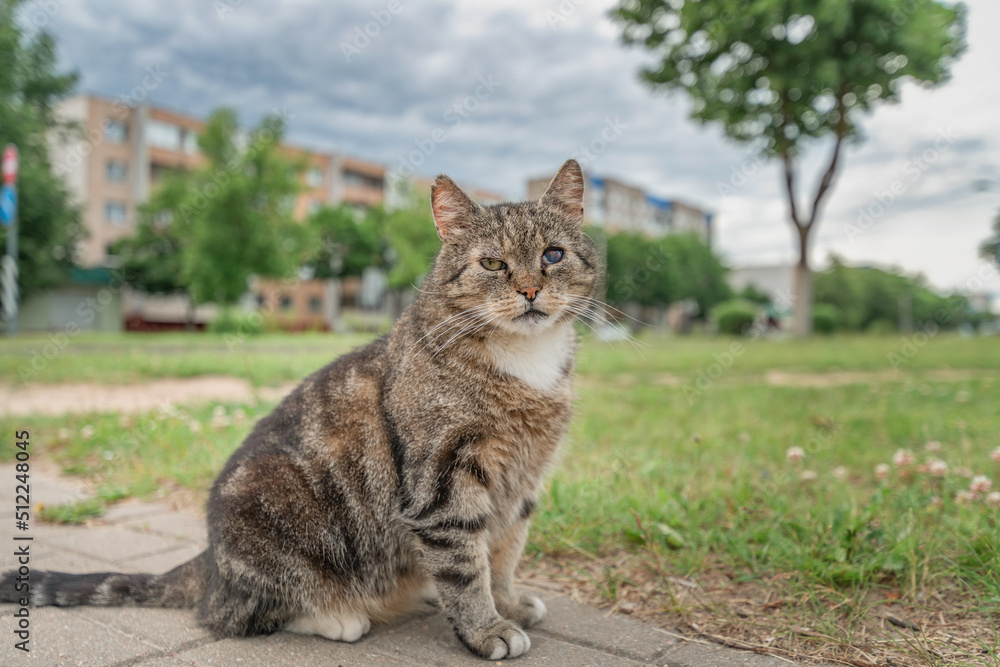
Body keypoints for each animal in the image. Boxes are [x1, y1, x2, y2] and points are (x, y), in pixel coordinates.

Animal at [1, 158, 600, 664]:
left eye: (552, 255)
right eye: (492, 263)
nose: (530, 289)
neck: (525, 365)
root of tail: (211, 561)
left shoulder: (521, 482)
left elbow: (504, 553)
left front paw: (509, 602)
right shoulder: (444, 484)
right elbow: (466, 567)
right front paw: (485, 628)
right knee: (233, 616)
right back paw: (338, 616)